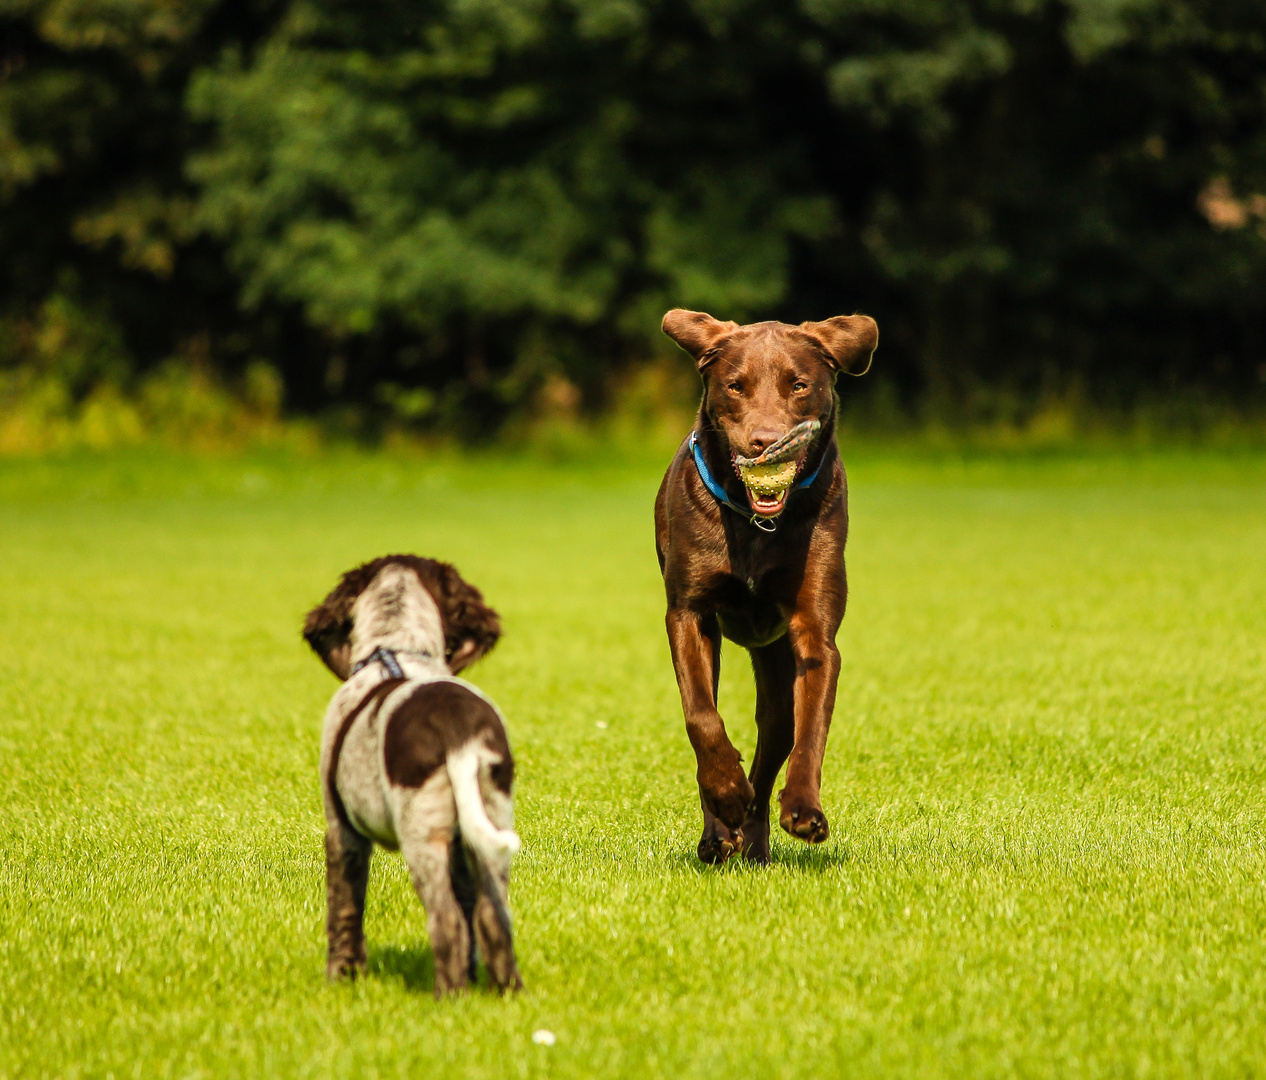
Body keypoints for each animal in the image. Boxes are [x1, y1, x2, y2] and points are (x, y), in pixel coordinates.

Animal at [303, 557, 521, 992]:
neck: (397, 649)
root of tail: (458, 735)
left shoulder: (342, 831)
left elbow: (344, 908)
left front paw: (342, 976)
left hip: (423, 834)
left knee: (446, 921)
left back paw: (449, 996)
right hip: (490, 823)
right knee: (493, 915)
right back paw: (506, 994)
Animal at [658, 307, 876, 866]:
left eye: (799, 385)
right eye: (735, 386)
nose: (764, 441)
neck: (759, 526)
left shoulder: (815, 631)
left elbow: (811, 731)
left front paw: (803, 811)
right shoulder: (688, 613)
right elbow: (701, 718)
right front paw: (726, 792)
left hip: (775, 663)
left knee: (776, 733)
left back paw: (753, 841)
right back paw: (720, 829)